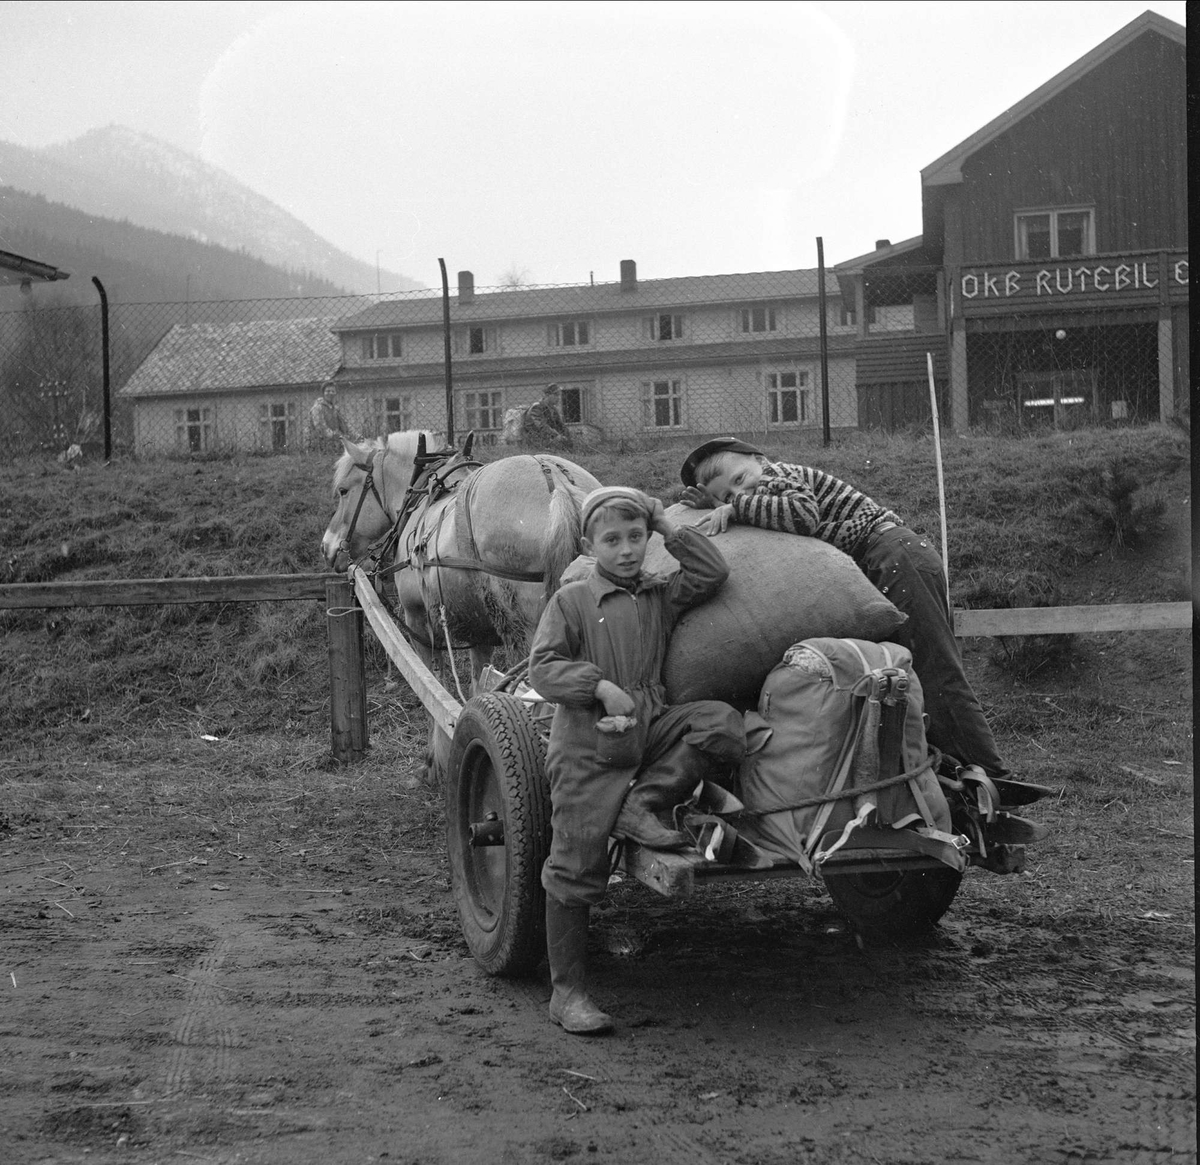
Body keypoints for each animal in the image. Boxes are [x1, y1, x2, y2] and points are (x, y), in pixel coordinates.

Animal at [321, 431, 600, 777]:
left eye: (343, 490)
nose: (327, 548)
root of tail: (556, 481)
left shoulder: (418, 621)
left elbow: (431, 685)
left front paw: (434, 761)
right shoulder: (482, 632)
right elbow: (481, 683)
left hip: (524, 630)